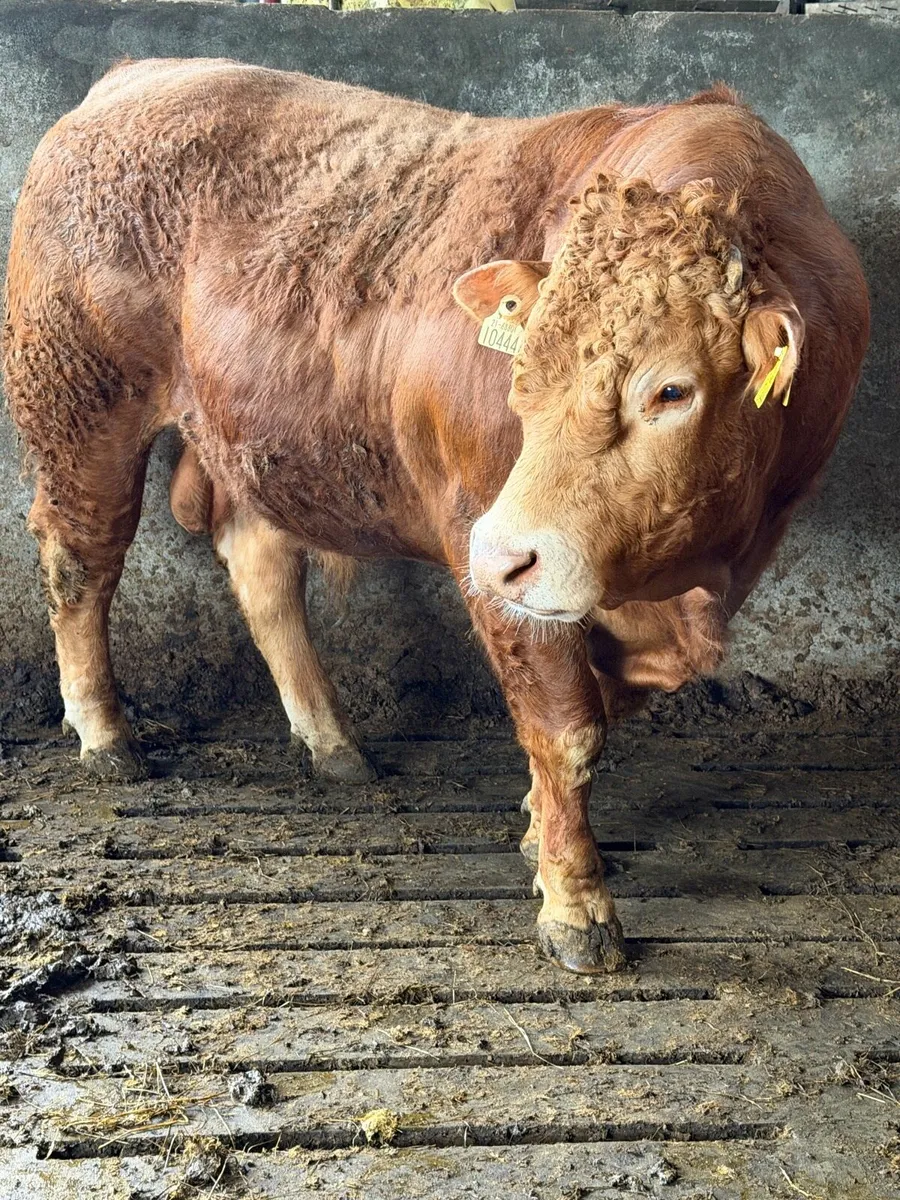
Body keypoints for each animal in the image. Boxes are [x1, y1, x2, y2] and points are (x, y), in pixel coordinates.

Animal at [3, 60, 869, 975]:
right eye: (522, 366)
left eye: (671, 390)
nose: (504, 556)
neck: (676, 591)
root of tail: (134, 77)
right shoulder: (484, 539)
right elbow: (566, 727)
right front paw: (575, 905)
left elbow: (592, 712)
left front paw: (536, 831)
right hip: (79, 409)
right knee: (80, 562)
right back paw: (106, 736)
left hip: (258, 445)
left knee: (262, 567)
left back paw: (332, 743)